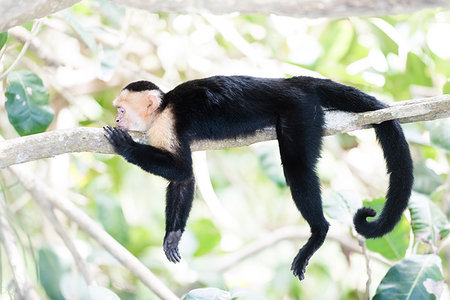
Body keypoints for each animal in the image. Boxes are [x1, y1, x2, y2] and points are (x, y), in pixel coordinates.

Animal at [103, 74, 414, 278]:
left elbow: (181, 169)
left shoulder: (166, 123)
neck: (162, 109)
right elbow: (184, 178)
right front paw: (173, 236)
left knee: (297, 168)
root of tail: (288, 82)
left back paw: (318, 232)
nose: (117, 119)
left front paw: (126, 146)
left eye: (121, 109)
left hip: (299, 110)